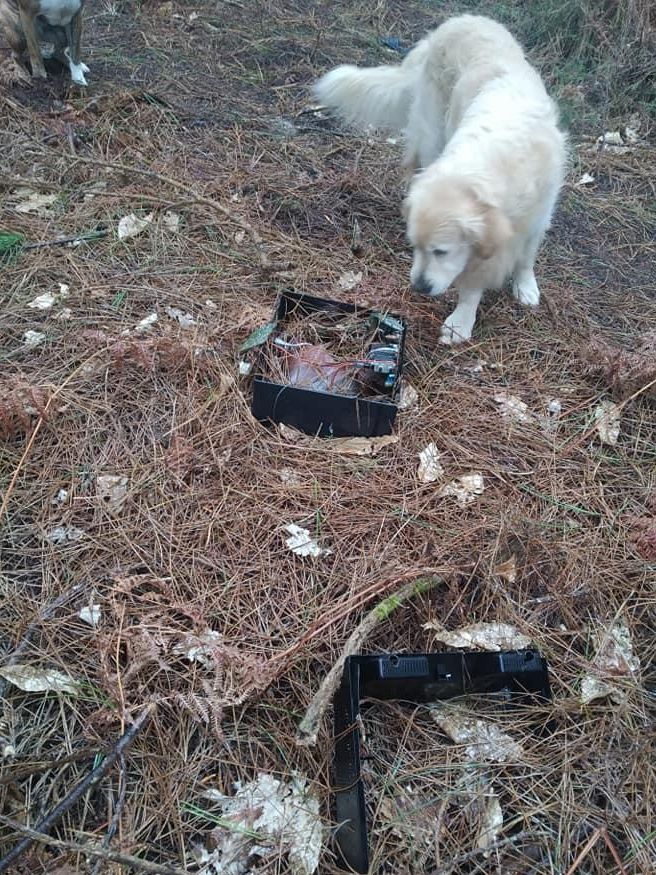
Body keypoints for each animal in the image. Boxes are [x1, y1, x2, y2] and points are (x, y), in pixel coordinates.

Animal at [316, 14, 568, 342]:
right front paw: (461, 322)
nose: (419, 287)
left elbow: (526, 258)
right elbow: (472, 284)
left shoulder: (539, 214)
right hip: (433, 130)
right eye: (415, 246)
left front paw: (525, 286)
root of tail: (455, 22)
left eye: (440, 251)